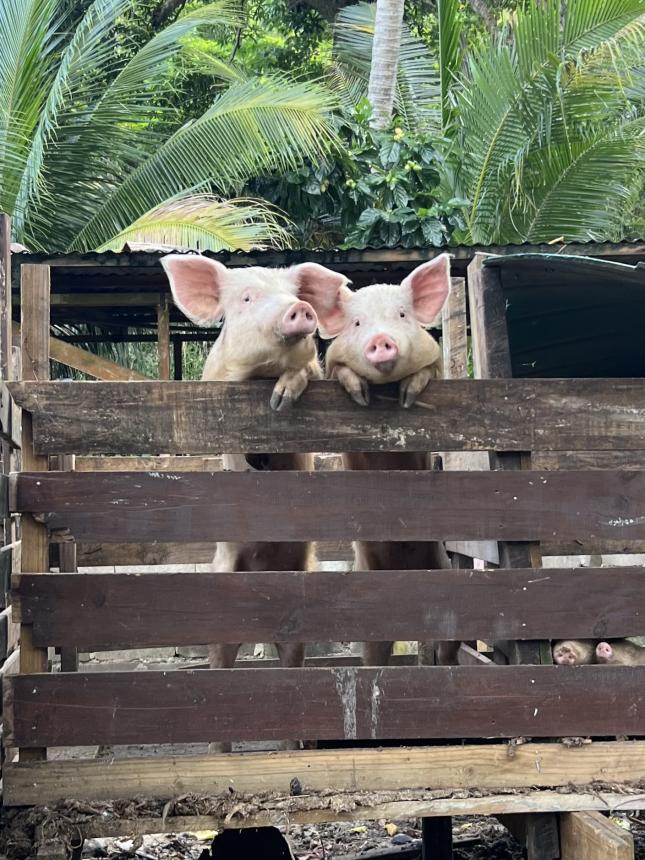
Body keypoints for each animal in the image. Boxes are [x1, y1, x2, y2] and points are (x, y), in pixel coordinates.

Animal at [162, 252, 352, 748]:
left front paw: (281, 400)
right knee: (223, 661)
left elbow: (304, 371)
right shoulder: (216, 384)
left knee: (289, 664)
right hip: (223, 584)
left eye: (294, 294)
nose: (299, 308)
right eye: (247, 297)